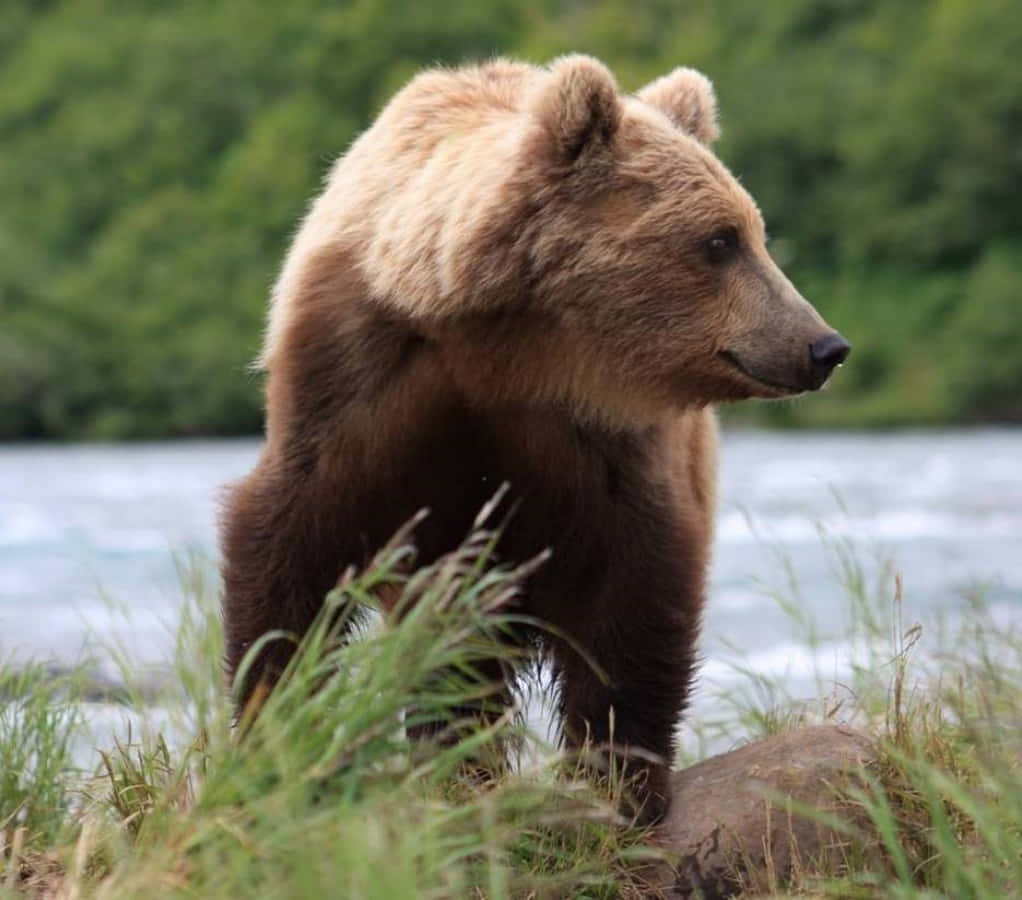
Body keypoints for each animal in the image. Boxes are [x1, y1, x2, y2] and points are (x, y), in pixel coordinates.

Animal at [219, 55, 850, 825]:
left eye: (751, 232)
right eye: (720, 240)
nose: (823, 345)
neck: (508, 347)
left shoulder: (605, 438)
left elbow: (637, 590)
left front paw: (622, 778)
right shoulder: (355, 377)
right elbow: (290, 548)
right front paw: (278, 741)